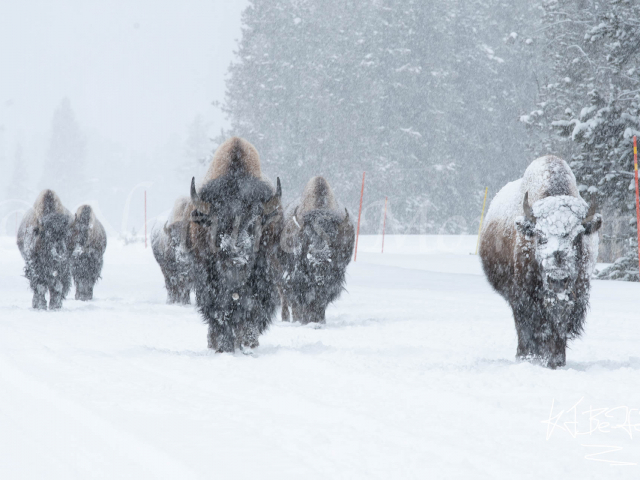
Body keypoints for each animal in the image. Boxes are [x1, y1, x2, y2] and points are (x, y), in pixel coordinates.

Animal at [187, 137, 283, 352]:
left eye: (254, 223)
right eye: (216, 222)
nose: (236, 259)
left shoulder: (265, 282)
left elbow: (252, 314)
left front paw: (249, 343)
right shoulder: (209, 284)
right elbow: (220, 316)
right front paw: (224, 345)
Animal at [278, 176, 355, 324]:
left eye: (333, 235)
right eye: (307, 236)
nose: (319, 256)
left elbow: (320, 301)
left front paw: (319, 320)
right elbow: (300, 301)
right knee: (285, 299)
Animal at [479, 156, 602, 368]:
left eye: (578, 237)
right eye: (541, 236)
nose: (558, 279)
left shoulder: (574, 296)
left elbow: (559, 325)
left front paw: (556, 360)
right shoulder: (523, 297)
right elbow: (529, 327)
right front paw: (527, 358)